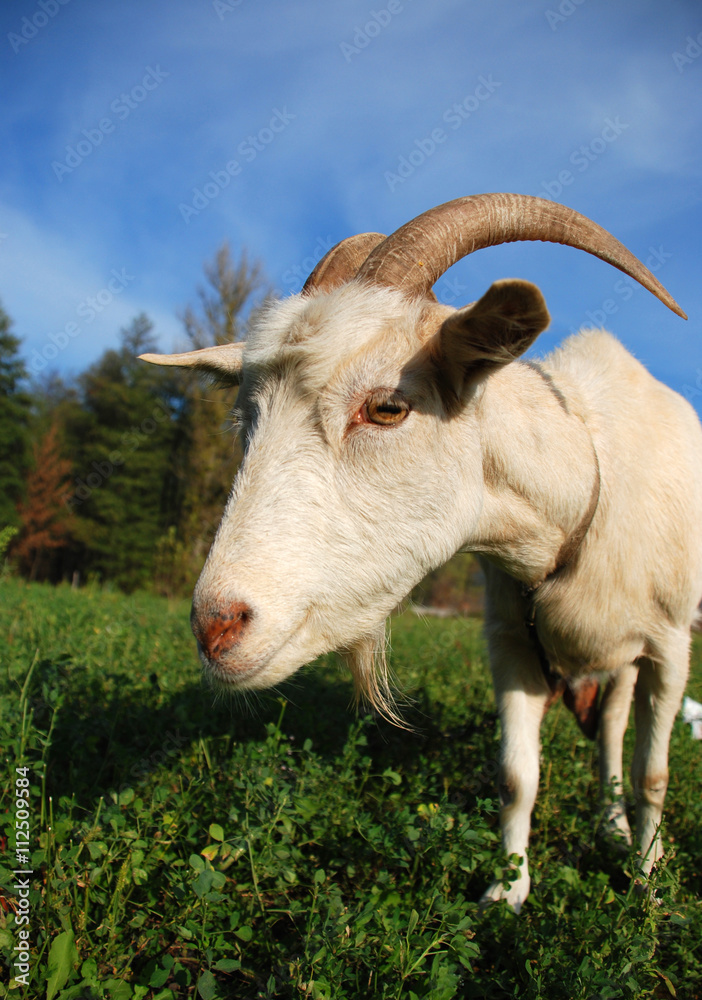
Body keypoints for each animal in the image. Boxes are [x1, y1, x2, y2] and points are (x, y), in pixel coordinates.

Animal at [141, 194, 702, 911]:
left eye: (387, 407)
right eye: (245, 419)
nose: (216, 626)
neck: (582, 493)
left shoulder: (671, 644)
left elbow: (653, 775)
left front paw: (650, 886)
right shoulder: (511, 641)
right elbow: (516, 777)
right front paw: (506, 895)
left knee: (615, 732)